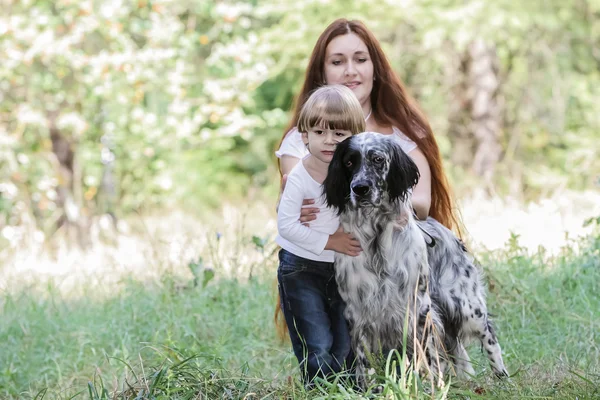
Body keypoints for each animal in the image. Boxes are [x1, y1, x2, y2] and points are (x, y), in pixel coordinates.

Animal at [322, 131, 508, 384]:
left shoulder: (419, 307)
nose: (360, 188)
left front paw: (432, 385)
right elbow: (363, 358)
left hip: (467, 307)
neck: (376, 235)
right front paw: (369, 386)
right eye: (349, 162)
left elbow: (429, 354)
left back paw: (502, 377)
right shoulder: (357, 311)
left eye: (378, 159)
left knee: (489, 336)